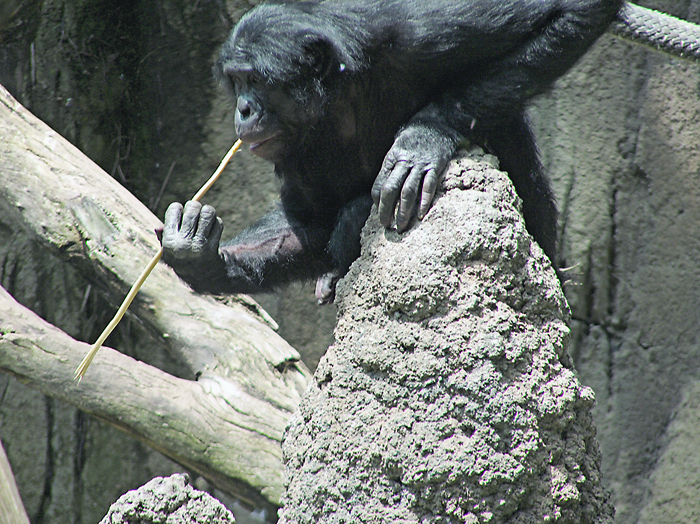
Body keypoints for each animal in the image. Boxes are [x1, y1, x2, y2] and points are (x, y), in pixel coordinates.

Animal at [160, 0, 624, 302]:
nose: (243, 107)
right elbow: (309, 222)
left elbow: (570, 10)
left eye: (256, 81)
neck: (338, 88)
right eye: (237, 81)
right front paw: (197, 254)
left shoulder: (417, 29)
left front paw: (422, 138)